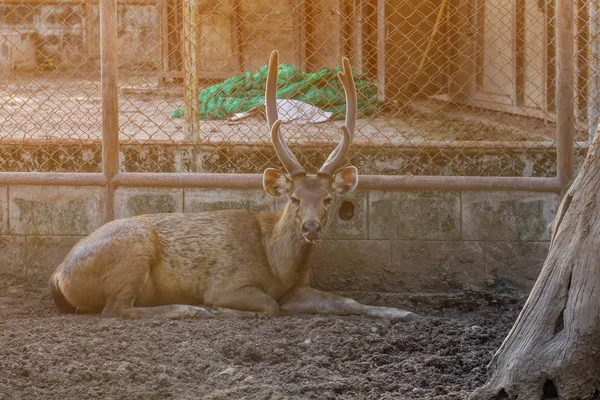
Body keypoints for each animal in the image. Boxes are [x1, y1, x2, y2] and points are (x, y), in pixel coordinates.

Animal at [49, 50, 420, 320]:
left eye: (328, 199)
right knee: (116, 310)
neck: (278, 266)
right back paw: (189, 309)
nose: (311, 228)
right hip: (131, 254)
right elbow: (269, 306)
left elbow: (346, 301)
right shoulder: (227, 283)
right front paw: (219, 309)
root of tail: (59, 275)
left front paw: (402, 312)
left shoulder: (296, 289)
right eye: (295, 199)